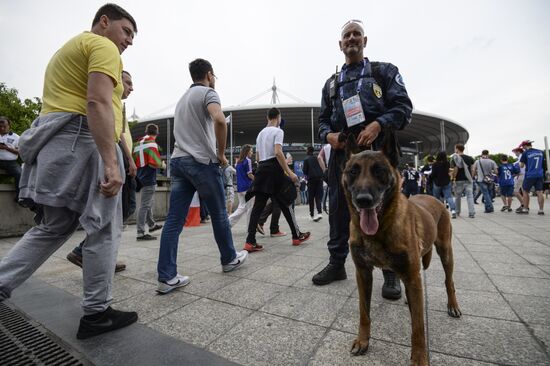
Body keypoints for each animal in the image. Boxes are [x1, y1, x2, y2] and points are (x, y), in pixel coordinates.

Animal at [344, 130, 462, 364]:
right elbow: (364, 312)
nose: (363, 200)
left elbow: (418, 327)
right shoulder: (363, 273)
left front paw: (419, 358)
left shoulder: (412, 274)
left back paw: (452, 305)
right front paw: (363, 341)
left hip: (445, 253)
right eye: (353, 171)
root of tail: (432, 196)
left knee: (448, 281)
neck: (379, 229)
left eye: (379, 171)